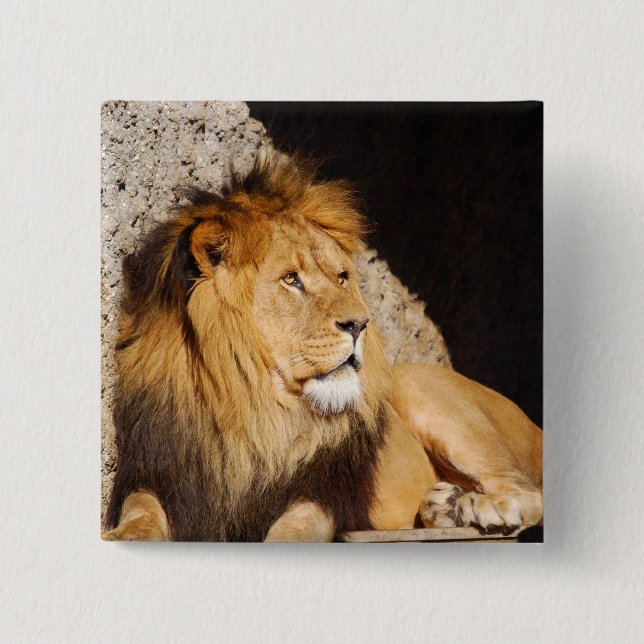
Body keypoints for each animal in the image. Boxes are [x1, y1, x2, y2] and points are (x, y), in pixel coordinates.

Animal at [103, 154, 542, 542]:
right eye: (291, 279)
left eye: (342, 277)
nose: (360, 324)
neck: (252, 408)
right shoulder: (153, 472)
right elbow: (141, 512)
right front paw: (124, 535)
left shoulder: (321, 496)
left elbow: (291, 533)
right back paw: (447, 506)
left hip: (418, 381)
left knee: (527, 490)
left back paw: (481, 507)